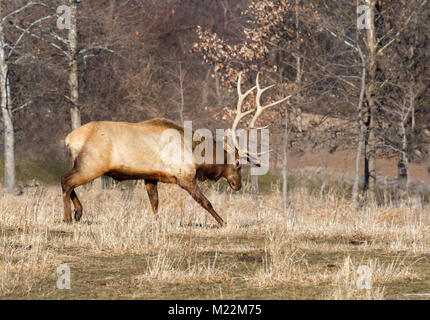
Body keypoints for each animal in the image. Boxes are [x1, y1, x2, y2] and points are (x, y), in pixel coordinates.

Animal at [61, 73, 288, 226]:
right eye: (238, 164)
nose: (237, 185)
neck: (198, 156)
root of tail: (69, 139)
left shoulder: (150, 176)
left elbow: (155, 203)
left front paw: (156, 222)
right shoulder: (185, 176)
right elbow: (206, 202)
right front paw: (223, 222)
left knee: (68, 182)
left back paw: (78, 214)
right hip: (91, 164)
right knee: (66, 181)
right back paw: (69, 216)